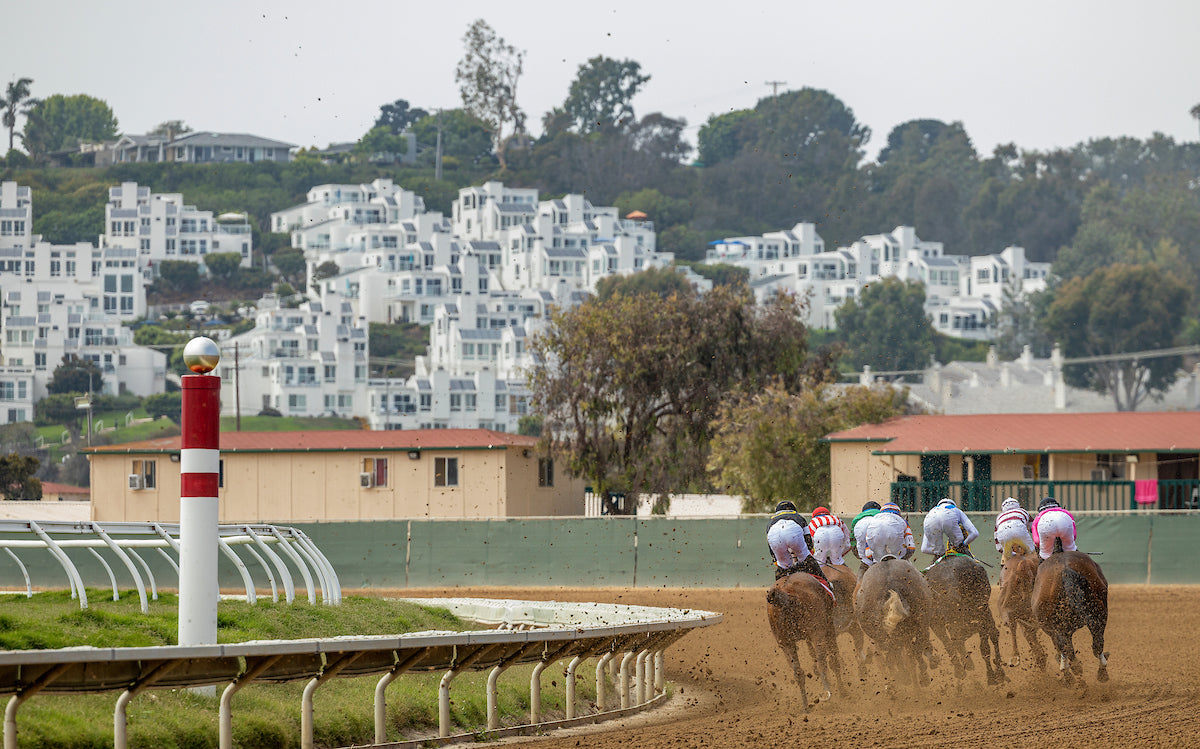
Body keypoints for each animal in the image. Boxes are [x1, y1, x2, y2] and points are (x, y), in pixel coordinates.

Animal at [768, 571, 844, 710]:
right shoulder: (828, 626)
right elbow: (834, 659)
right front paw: (843, 692)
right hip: (817, 632)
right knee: (822, 662)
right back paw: (827, 693)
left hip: (786, 643)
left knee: (798, 672)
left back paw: (805, 706)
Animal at [854, 556, 936, 686]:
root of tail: (891, 584)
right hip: (920, 624)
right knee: (912, 649)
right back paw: (921, 676)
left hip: (883, 635)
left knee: (893, 653)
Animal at [1032, 547, 1104, 681]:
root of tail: (1065, 569)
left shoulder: (1054, 630)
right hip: (1099, 611)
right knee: (1097, 640)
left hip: (1059, 626)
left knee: (1067, 648)